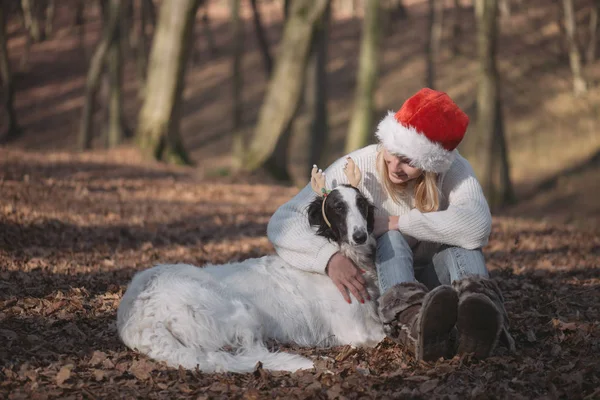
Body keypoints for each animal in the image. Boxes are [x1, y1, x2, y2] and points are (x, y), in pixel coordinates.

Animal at [116, 162, 384, 372]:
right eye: (338, 208)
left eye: (362, 205)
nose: (360, 236)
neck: (345, 253)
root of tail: (136, 317)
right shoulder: (357, 331)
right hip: (240, 310)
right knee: (253, 356)